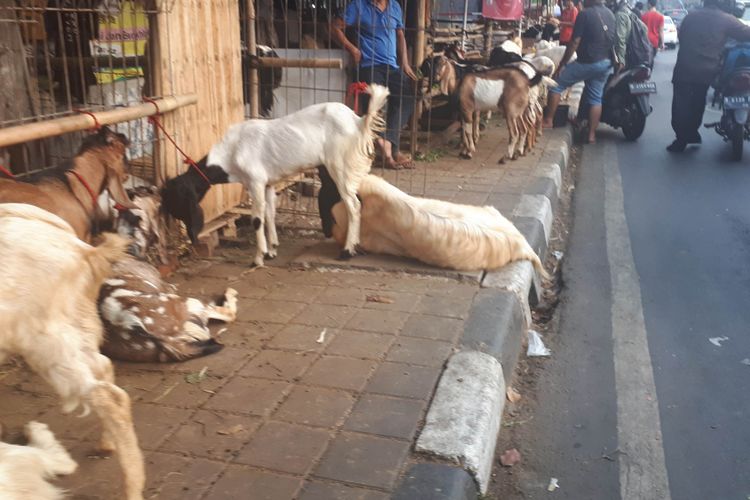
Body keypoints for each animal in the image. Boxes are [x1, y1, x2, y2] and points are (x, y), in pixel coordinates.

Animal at [0, 203, 145, 500]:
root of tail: (80, 249)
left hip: (44, 339)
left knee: (109, 397)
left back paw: (132, 489)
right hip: (73, 327)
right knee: (104, 368)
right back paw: (106, 444)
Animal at [162, 84, 390, 268]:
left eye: (176, 199)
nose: (187, 235)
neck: (231, 152)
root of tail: (358, 121)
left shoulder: (255, 181)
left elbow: (256, 219)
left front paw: (258, 258)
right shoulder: (268, 184)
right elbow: (270, 214)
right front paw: (272, 250)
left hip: (340, 166)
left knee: (353, 205)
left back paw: (347, 251)